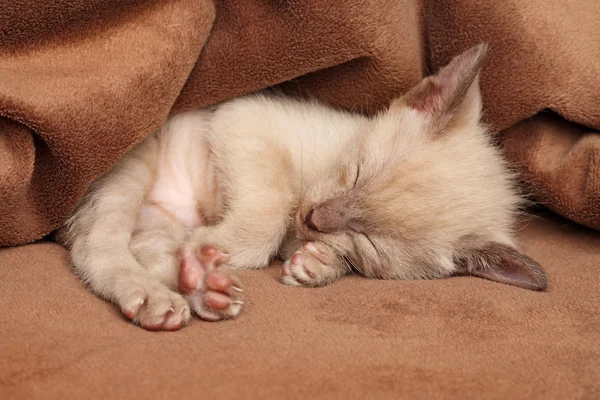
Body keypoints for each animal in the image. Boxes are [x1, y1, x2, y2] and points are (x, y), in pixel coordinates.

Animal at [61, 43, 548, 332]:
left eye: (370, 241)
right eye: (355, 172)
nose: (314, 219)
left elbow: (313, 247)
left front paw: (316, 264)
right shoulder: (244, 115)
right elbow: (270, 211)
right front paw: (223, 241)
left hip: (152, 223)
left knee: (141, 248)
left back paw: (201, 282)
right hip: (131, 166)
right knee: (94, 247)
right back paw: (159, 292)